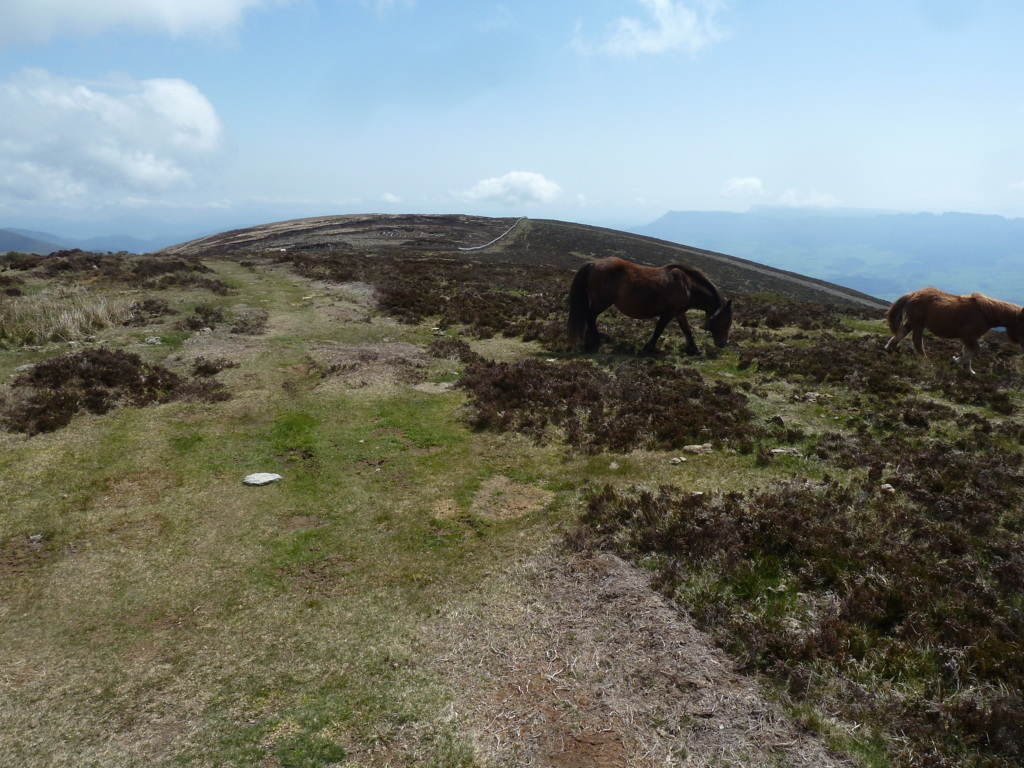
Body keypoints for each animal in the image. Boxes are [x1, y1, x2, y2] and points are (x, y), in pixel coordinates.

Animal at [569, 257, 729, 356]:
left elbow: (687, 330)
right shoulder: (669, 312)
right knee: (590, 317)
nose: (723, 344)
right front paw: (650, 348)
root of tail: (594, 264)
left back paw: (589, 344)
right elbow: (659, 329)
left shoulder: (679, 313)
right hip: (601, 303)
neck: (688, 286)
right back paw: (595, 342)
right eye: (726, 322)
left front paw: (695, 350)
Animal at [880, 286, 1024, 374]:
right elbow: (975, 350)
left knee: (902, 333)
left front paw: (968, 369)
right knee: (917, 343)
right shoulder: (968, 336)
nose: (1022, 344)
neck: (985, 313)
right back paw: (926, 362)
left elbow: (968, 351)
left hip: (912, 323)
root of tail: (913, 294)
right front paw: (956, 361)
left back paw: (888, 348)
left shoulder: (970, 337)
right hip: (918, 325)